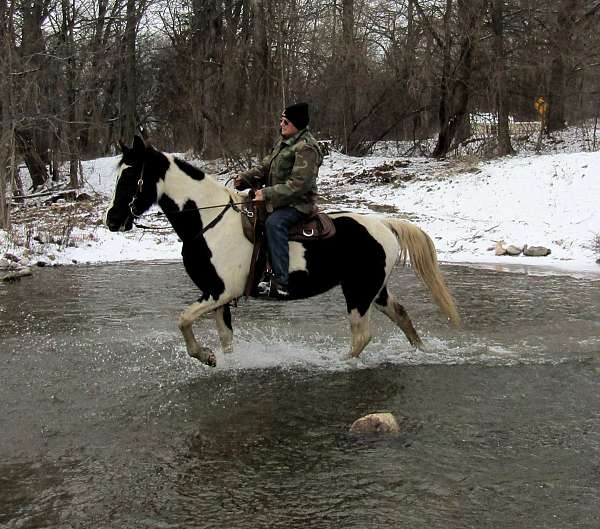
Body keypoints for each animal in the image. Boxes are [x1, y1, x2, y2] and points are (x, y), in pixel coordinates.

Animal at [105, 136, 460, 368]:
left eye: (131, 175)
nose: (112, 220)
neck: (209, 222)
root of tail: (384, 224)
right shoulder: (217, 296)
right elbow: (226, 339)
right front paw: (218, 359)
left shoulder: (219, 291)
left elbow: (183, 320)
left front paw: (204, 355)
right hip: (375, 290)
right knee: (401, 315)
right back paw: (421, 352)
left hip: (358, 293)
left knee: (362, 336)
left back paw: (336, 362)